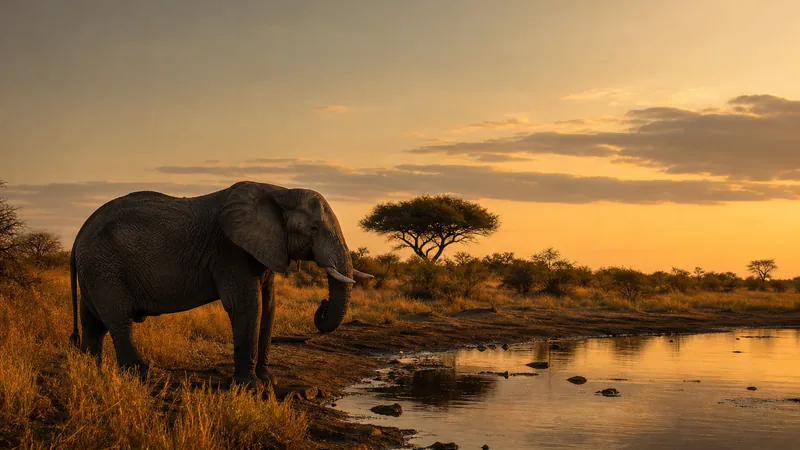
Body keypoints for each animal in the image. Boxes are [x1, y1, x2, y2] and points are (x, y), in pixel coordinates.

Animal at [68, 181, 373, 387]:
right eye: (313, 229)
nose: (322, 304)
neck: (279, 191)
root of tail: (79, 232)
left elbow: (270, 306)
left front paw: (268, 381)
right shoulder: (230, 250)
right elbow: (247, 306)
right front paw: (250, 387)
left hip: (96, 268)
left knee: (94, 322)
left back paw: (89, 370)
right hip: (104, 266)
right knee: (118, 320)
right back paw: (143, 374)